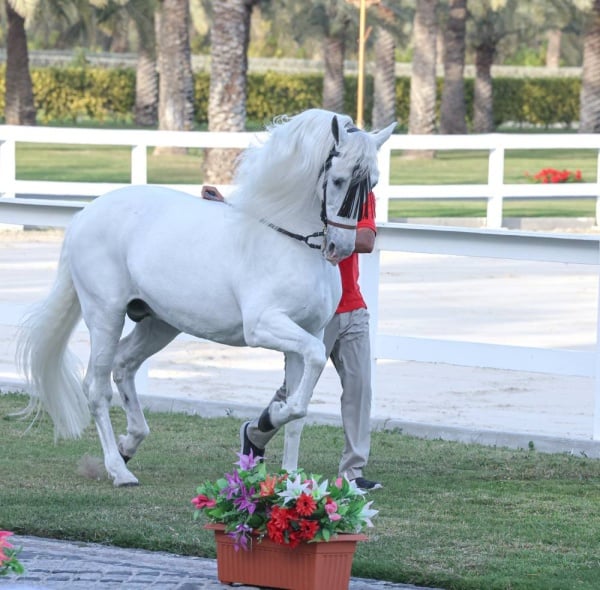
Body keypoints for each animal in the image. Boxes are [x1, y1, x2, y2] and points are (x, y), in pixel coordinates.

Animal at [16, 108, 394, 488]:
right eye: (339, 180)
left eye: (373, 184)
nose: (339, 249)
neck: (287, 241)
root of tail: (84, 215)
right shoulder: (265, 326)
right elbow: (300, 393)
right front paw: (273, 415)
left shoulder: (308, 333)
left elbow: (301, 408)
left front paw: (291, 480)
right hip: (105, 314)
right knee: (96, 388)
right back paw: (119, 470)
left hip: (159, 323)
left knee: (123, 365)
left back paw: (129, 444)